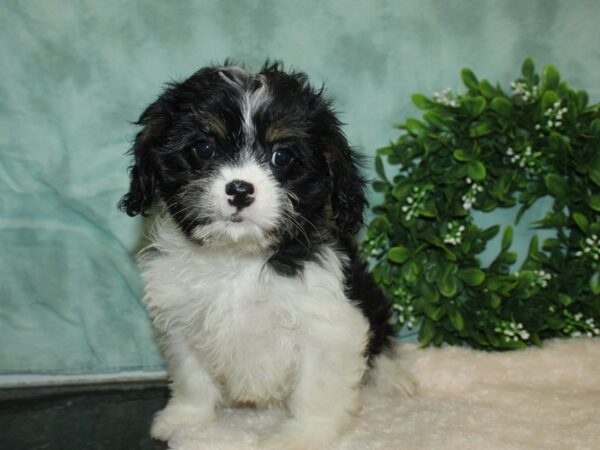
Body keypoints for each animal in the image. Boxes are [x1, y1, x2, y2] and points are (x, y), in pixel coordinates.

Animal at [119, 62, 414, 446]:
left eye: (282, 156)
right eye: (204, 148)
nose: (240, 190)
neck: (238, 256)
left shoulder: (327, 322)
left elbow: (317, 387)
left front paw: (304, 435)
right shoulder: (181, 322)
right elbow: (190, 375)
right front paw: (186, 418)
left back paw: (394, 379)